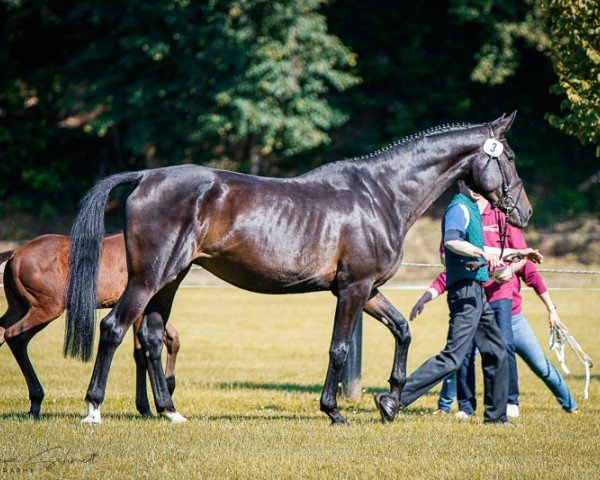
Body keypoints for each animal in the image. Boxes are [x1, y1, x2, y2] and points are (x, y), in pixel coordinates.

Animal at [0, 234, 180, 418]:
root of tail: (17, 252)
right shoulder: (140, 307)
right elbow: (140, 353)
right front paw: (147, 407)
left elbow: (172, 338)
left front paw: (168, 387)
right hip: (47, 308)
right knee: (14, 336)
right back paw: (36, 400)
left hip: (18, 308)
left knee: (3, 332)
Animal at [68, 111, 532, 424]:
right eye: (508, 155)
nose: (524, 212)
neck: (381, 193)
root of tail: (146, 176)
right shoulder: (354, 289)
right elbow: (339, 348)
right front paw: (334, 412)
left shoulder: (367, 289)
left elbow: (402, 330)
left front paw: (389, 402)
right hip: (150, 277)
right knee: (114, 328)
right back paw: (93, 408)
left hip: (170, 279)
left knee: (149, 336)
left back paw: (169, 411)